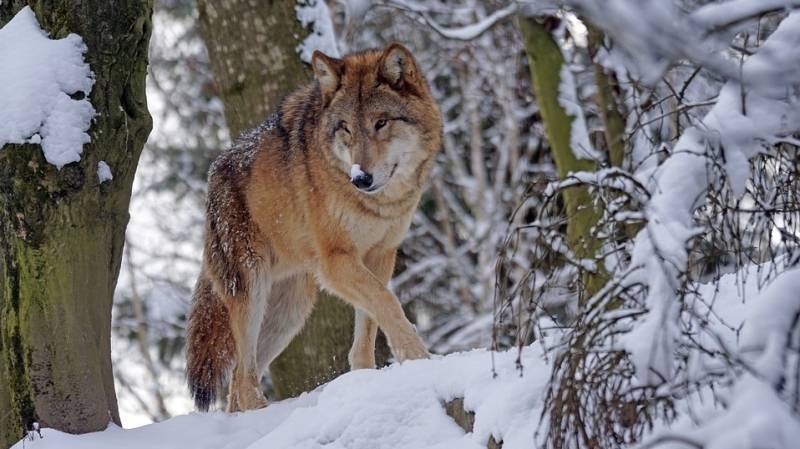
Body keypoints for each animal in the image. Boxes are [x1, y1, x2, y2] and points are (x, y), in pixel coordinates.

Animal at [184, 43, 444, 412]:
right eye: (346, 128)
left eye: (381, 123)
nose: (361, 178)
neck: (378, 204)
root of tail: (213, 173)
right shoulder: (336, 261)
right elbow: (388, 303)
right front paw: (419, 358)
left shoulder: (380, 255)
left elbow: (370, 322)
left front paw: (366, 378)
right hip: (252, 290)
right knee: (244, 379)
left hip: (290, 312)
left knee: (237, 382)